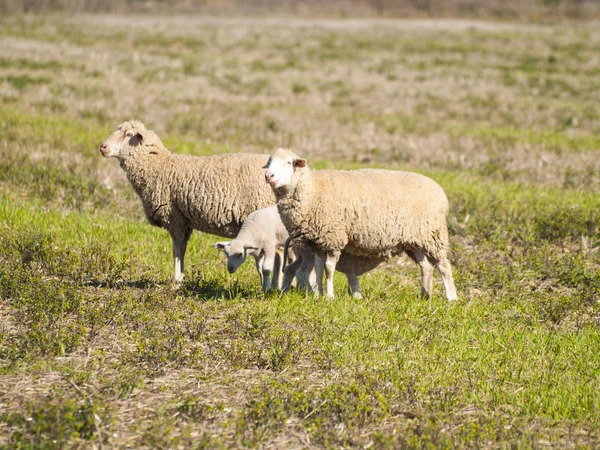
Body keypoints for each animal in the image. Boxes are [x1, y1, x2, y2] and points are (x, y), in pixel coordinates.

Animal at [99, 119, 276, 282]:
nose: (102, 147)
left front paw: (177, 281)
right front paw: (181, 278)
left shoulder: (174, 218)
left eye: (129, 135)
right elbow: (181, 249)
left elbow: (178, 250)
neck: (159, 166)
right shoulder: (185, 221)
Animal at [264, 149, 460, 300]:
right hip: (414, 240)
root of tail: (440, 192)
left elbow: (328, 268)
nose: (268, 175)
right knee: (425, 266)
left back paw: (451, 298)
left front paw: (329, 296)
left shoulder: (333, 237)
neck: (312, 191)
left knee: (444, 266)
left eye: (289, 162)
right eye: (269, 162)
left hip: (433, 235)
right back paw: (424, 296)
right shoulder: (318, 241)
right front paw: (318, 294)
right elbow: (319, 268)